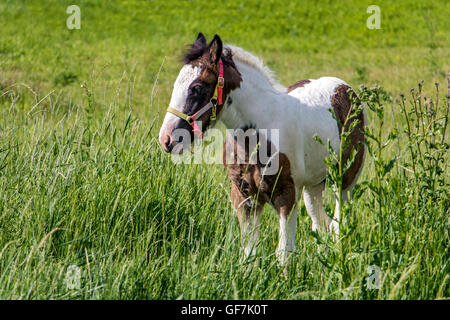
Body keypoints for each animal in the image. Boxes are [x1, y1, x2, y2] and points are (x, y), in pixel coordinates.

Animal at [158, 32, 366, 264]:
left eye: (197, 88)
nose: (167, 139)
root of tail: (344, 87)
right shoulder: (244, 197)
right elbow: (249, 252)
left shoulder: (286, 195)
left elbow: (284, 252)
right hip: (313, 185)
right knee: (321, 225)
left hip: (344, 180)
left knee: (339, 225)